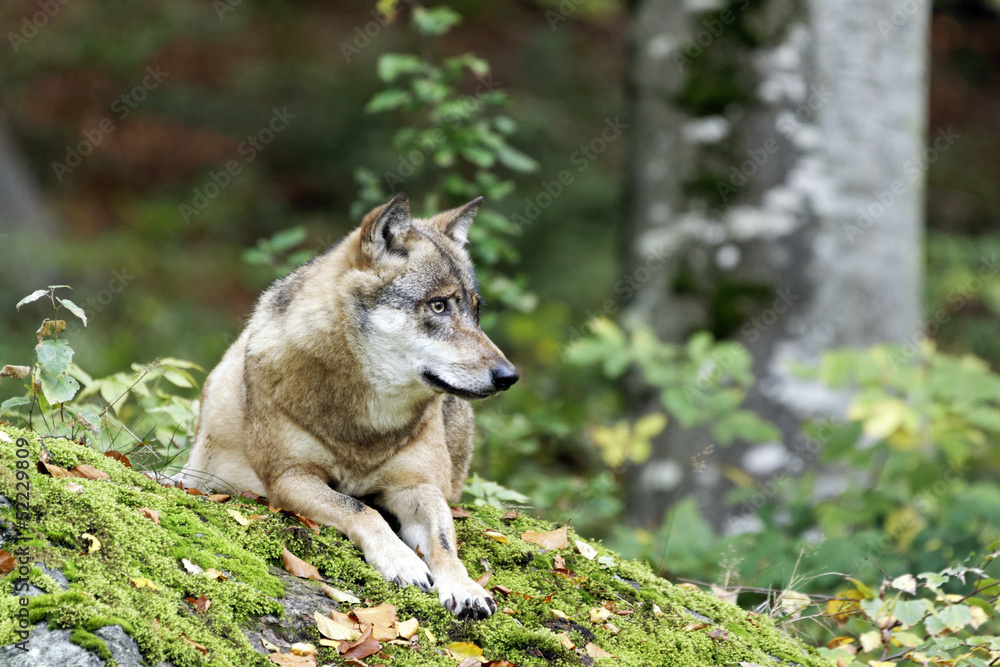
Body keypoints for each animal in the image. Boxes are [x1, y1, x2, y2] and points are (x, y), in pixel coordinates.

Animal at [180, 192, 518, 619]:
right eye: (438, 306)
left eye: (476, 311)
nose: (509, 376)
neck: (366, 427)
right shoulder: (290, 478)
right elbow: (361, 510)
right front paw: (402, 561)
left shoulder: (416, 485)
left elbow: (443, 540)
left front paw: (465, 587)